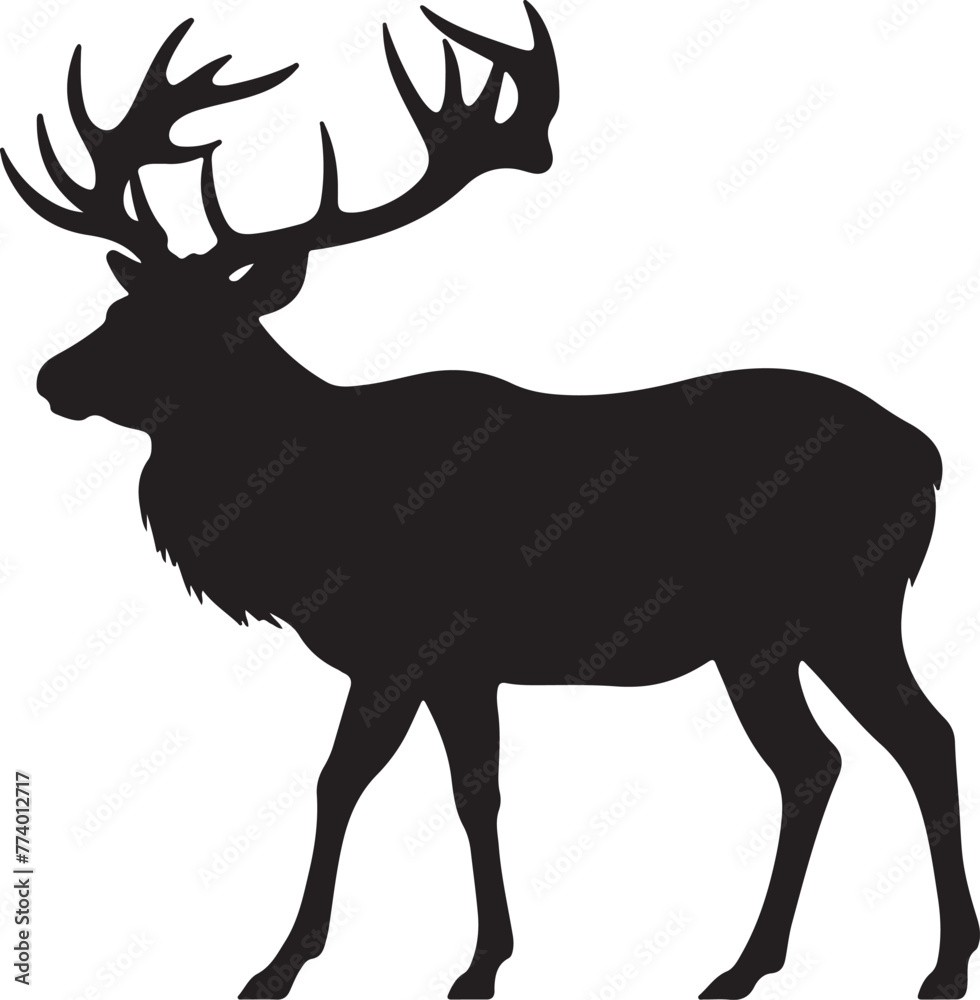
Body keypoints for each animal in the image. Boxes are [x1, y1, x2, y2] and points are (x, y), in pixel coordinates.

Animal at [4, 5, 977, 999]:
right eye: (121, 309)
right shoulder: (457, 669)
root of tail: (930, 457)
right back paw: (783, 965)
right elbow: (472, 792)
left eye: (194, 326)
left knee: (872, 749)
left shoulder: (413, 646)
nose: (50, 377)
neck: (309, 514)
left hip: (823, 614)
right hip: (794, 634)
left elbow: (349, 780)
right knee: (864, 751)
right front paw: (478, 958)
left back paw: (899, 966)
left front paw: (295, 965)